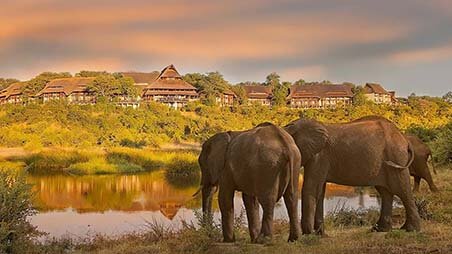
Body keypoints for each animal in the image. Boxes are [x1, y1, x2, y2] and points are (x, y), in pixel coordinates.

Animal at [284, 115, 422, 234]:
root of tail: (404, 138)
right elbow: (319, 191)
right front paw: (320, 235)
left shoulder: (319, 156)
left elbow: (310, 188)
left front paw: (308, 235)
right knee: (385, 192)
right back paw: (381, 230)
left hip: (396, 157)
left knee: (401, 189)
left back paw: (411, 229)